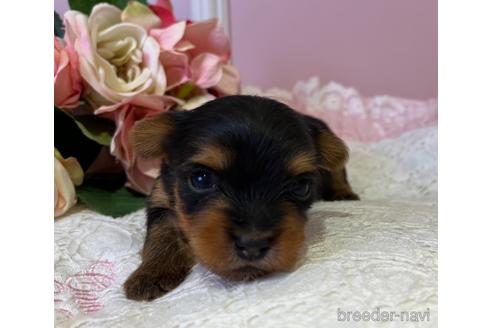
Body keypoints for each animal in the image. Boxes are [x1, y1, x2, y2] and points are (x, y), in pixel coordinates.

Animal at [125, 94, 360, 300]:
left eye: (301, 186)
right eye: (201, 179)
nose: (252, 245)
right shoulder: (160, 197)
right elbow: (162, 232)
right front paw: (150, 275)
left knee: (338, 172)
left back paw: (344, 193)